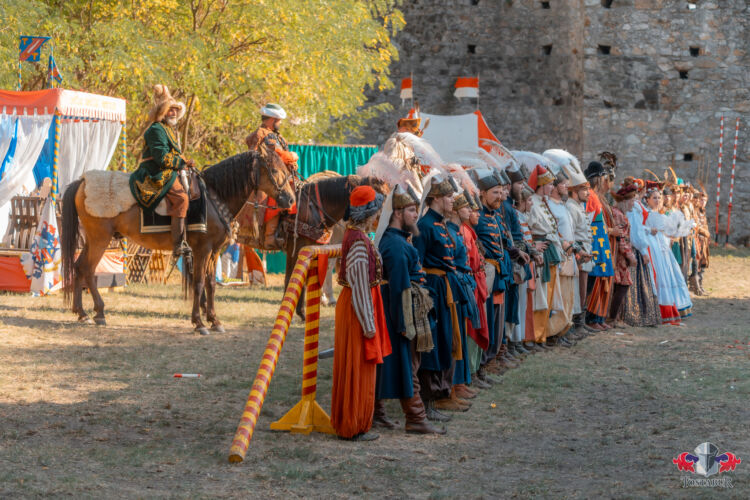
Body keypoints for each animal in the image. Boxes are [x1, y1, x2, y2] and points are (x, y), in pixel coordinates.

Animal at [61, 148, 296, 336]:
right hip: (100, 239)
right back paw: (99, 312)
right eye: (275, 171)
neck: (214, 197)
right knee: (88, 269)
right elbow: (199, 283)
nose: (291, 199)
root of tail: (82, 181)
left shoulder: (214, 252)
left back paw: (82, 313)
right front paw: (199, 323)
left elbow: (211, 284)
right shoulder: (202, 250)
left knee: (79, 267)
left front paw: (214, 320)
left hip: (93, 240)